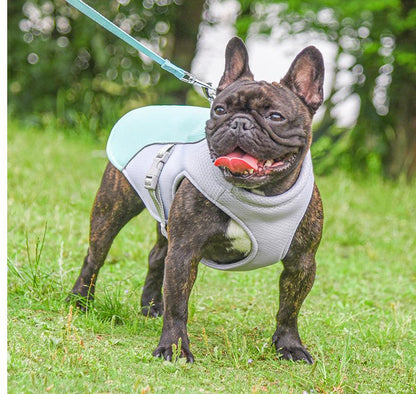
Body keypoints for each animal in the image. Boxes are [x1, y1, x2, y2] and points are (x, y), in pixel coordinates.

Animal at [70, 37, 324, 364]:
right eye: (219, 109)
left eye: (275, 117)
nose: (239, 123)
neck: (258, 194)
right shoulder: (185, 251)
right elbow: (179, 303)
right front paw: (174, 347)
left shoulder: (301, 263)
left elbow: (290, 307)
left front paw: (289, 345)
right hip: (112, 207)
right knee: (96, 255)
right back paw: (80, 299)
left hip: (165, 218)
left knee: (156, 256)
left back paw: (151, 305)